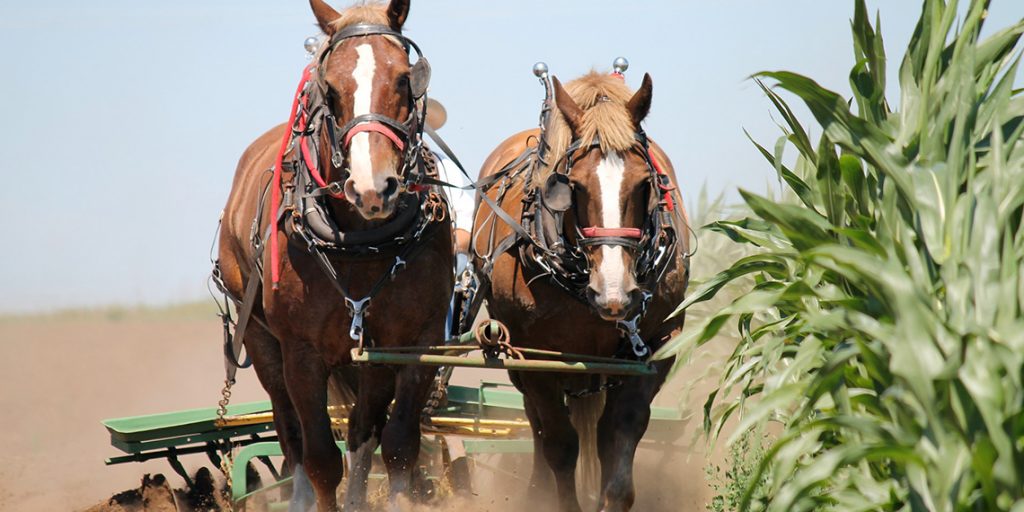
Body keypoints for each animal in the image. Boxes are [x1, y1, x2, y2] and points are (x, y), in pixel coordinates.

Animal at [216, 2, 452, 509]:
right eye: (330, 86)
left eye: (403, 78)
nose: (372, 188)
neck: (361, 241)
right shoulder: (301, 353)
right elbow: (322, 459)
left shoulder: (414, 341)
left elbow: (398, 445)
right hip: (260, 339)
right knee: (291, 435)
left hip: (369, 355)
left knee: (364, 430)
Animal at [468, 70, 692, 509]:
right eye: (572, 185)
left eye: (644, 183)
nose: (614, 293)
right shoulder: (535, 355)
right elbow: (559, 443)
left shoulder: (658, 344)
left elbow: (619, 433)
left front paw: (612, 495)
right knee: (538, 425)